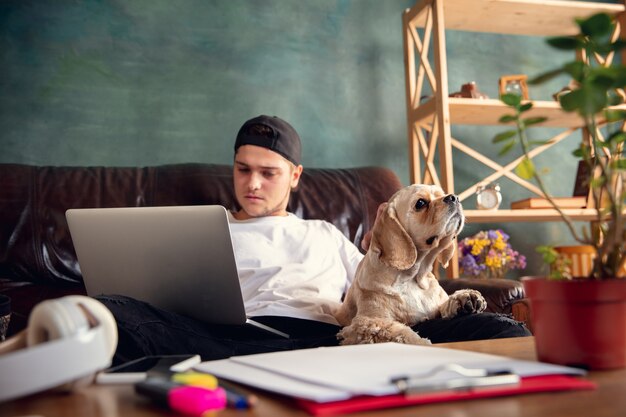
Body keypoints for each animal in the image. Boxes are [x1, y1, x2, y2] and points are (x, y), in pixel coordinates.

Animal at [334, 184, 486, 344]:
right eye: (420, 203)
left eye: (441, 194)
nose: (454, 197)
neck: (413, 277)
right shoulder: (368, 323)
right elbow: (404, 334)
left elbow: (444, 305)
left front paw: (465, 297)